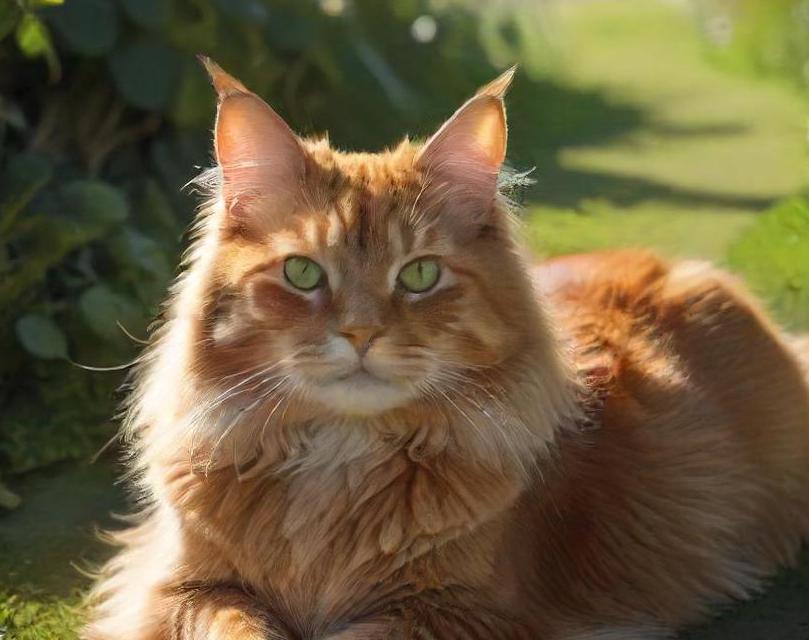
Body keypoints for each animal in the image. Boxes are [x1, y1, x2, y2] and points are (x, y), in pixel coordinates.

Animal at [83, 60, 808, 640]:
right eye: (303, 273)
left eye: (420, 275)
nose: (360, 333)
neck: (337, 460)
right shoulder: (182, 587)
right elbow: (238, 628)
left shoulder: (462, 609)